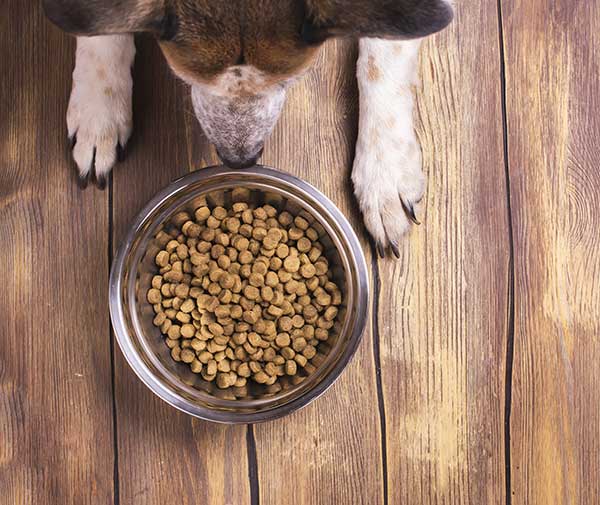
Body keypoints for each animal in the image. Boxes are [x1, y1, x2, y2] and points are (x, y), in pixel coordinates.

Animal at [43, 0, 454, 256]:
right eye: (185, 78)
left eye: (289, 81)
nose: (240, 160)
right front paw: (98, 108)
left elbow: (384, 53)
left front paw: (385, 173)